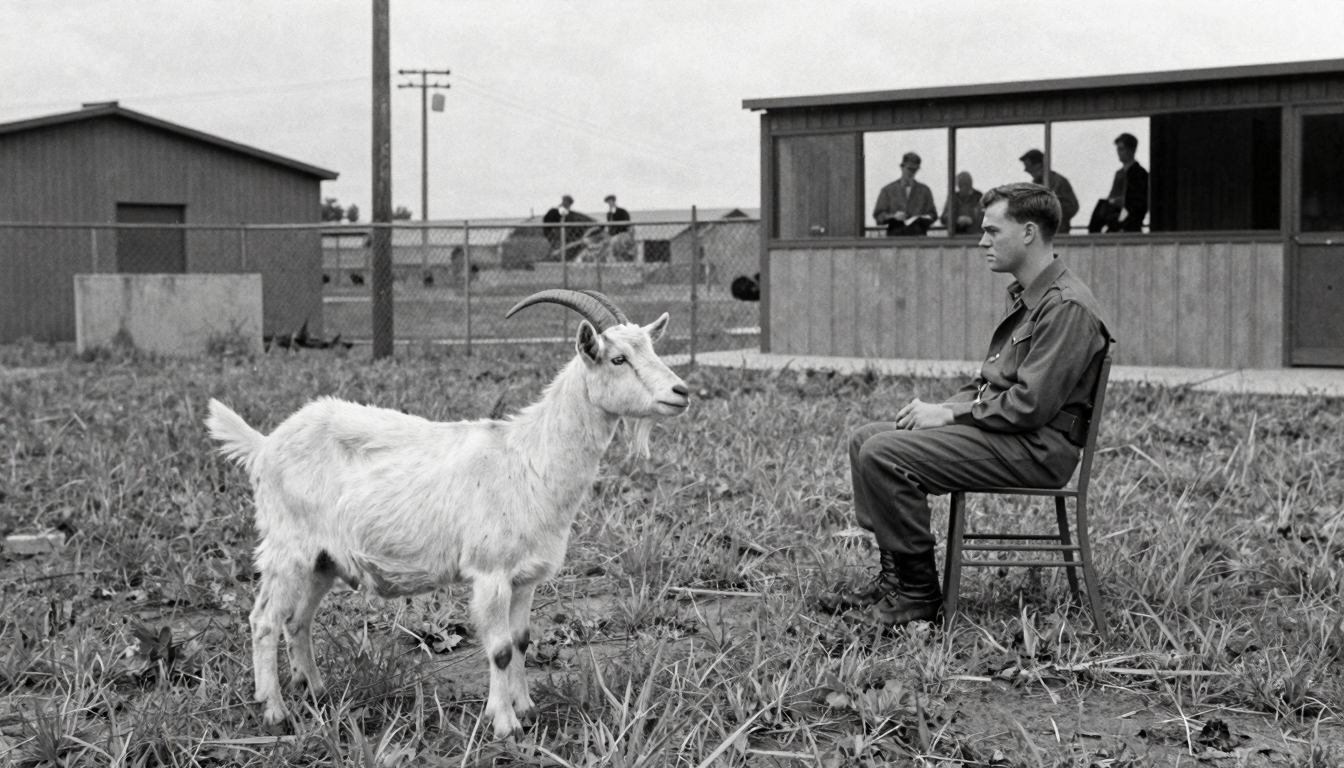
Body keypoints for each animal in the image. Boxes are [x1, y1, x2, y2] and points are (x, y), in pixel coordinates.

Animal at [205, 289, 689, 739]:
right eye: (618, 358)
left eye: (653, 349)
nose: (681, 392)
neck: (529, 458)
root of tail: (265, 444)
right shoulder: (490, 572)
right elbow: (499, 649)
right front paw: (505, 725)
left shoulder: (525, 577)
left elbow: (521, 641)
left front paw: (527, 709)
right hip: (287, 545)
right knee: (265, 620)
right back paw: (275, 713)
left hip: (322, 560)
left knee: (297, 620)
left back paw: (317, 692)